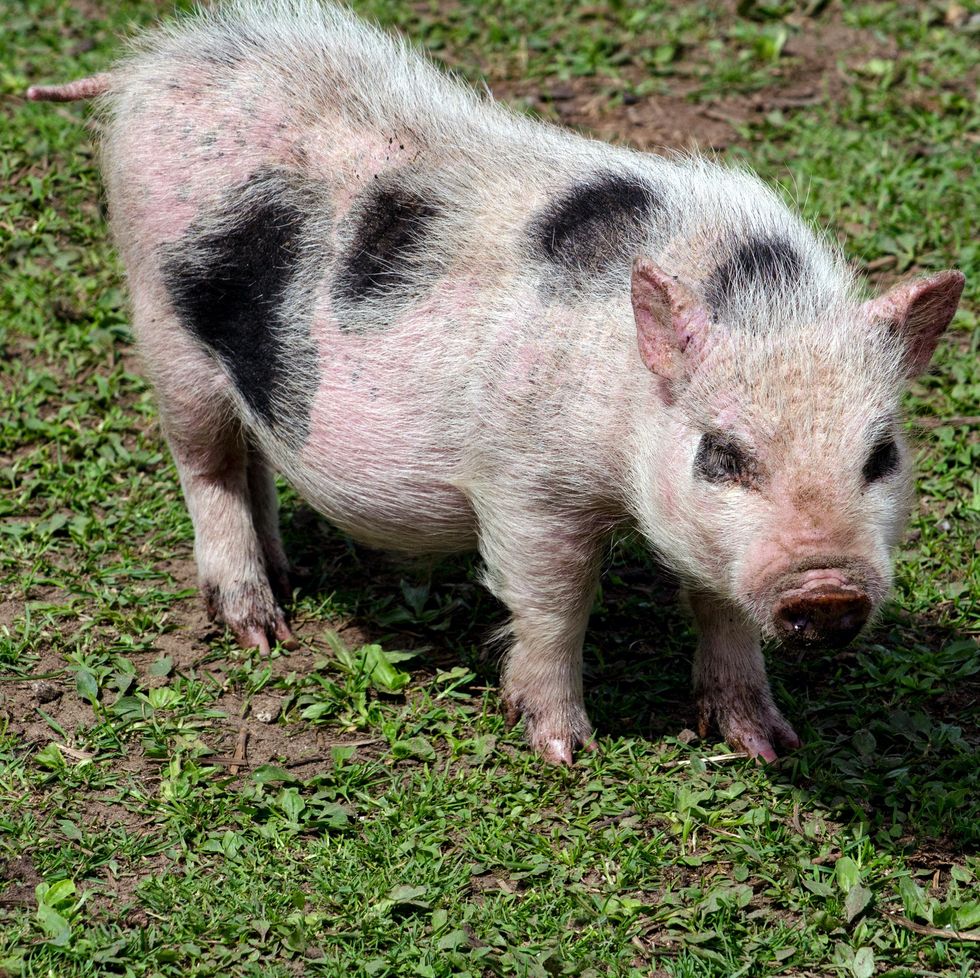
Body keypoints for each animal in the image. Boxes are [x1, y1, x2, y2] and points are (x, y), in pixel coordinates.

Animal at [28, 0, 963, 764]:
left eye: (881, 456)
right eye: (724, 452)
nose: (828, 588)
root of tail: (154, 62)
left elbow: (723, 608)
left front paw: (766, 744)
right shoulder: (524, 483)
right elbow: (555, 601)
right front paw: (563, 749)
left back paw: (289, 582)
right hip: (162, 318)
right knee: (206, 464)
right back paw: (260, 631)